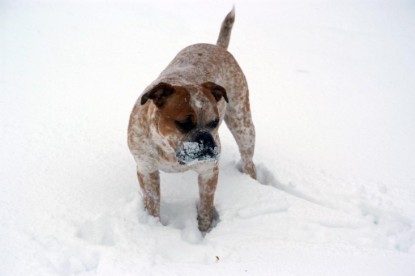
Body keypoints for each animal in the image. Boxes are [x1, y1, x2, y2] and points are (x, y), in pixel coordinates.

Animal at [127, 8, 256, 233]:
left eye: (215, 122)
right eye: (183, 123)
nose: (206, 141)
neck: (168, 150)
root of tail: (217, 46)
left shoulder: (208, 171)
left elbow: (205, 207)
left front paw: (205, 230)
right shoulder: (146, 169)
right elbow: (152, 204)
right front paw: (154, 228)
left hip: (243, 124)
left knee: (249, 160)